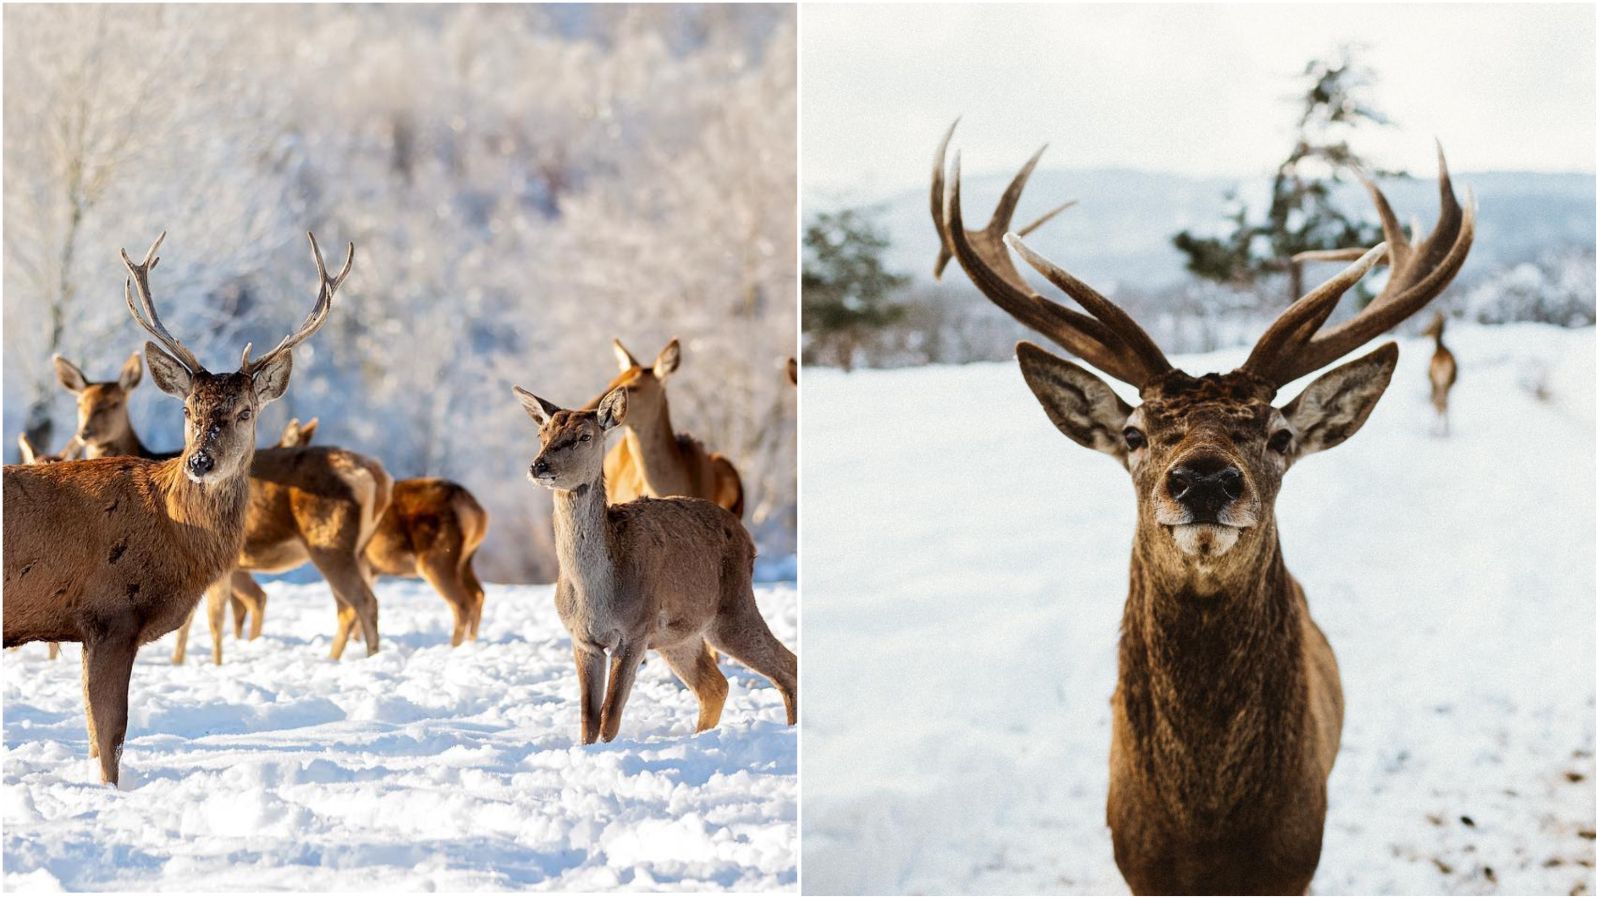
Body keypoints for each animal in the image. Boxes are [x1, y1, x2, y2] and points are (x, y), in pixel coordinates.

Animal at [0, 232, 347, 784]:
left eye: (245, 412)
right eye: (188, 410)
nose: (201, 461)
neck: (171, 526)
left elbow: (96, 735)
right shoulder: (111, 613)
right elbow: (111, 735)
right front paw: (110, 793)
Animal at [273, 416, 486, 640]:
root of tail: (477, 511)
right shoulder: (370, 567)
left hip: (437, 557)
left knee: (461, 603)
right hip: (465, 559)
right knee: (478, 594)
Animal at [512, 385, 793, 743]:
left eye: (584, 436)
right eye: (542, 434)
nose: (539, 465)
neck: (595, 593)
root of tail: (748, 539)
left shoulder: (635, 630)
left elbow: (610, 715)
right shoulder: (581, 638)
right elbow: (587, 718)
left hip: (732, 608)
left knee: (785, 665)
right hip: (680, 635)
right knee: (714, 686)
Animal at [934, 120, 1472, 890]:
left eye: (1280, 435)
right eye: (1133, 433)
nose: (1206, 479)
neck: (1208, 830)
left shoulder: (1296, 856)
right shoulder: (1138, 863)